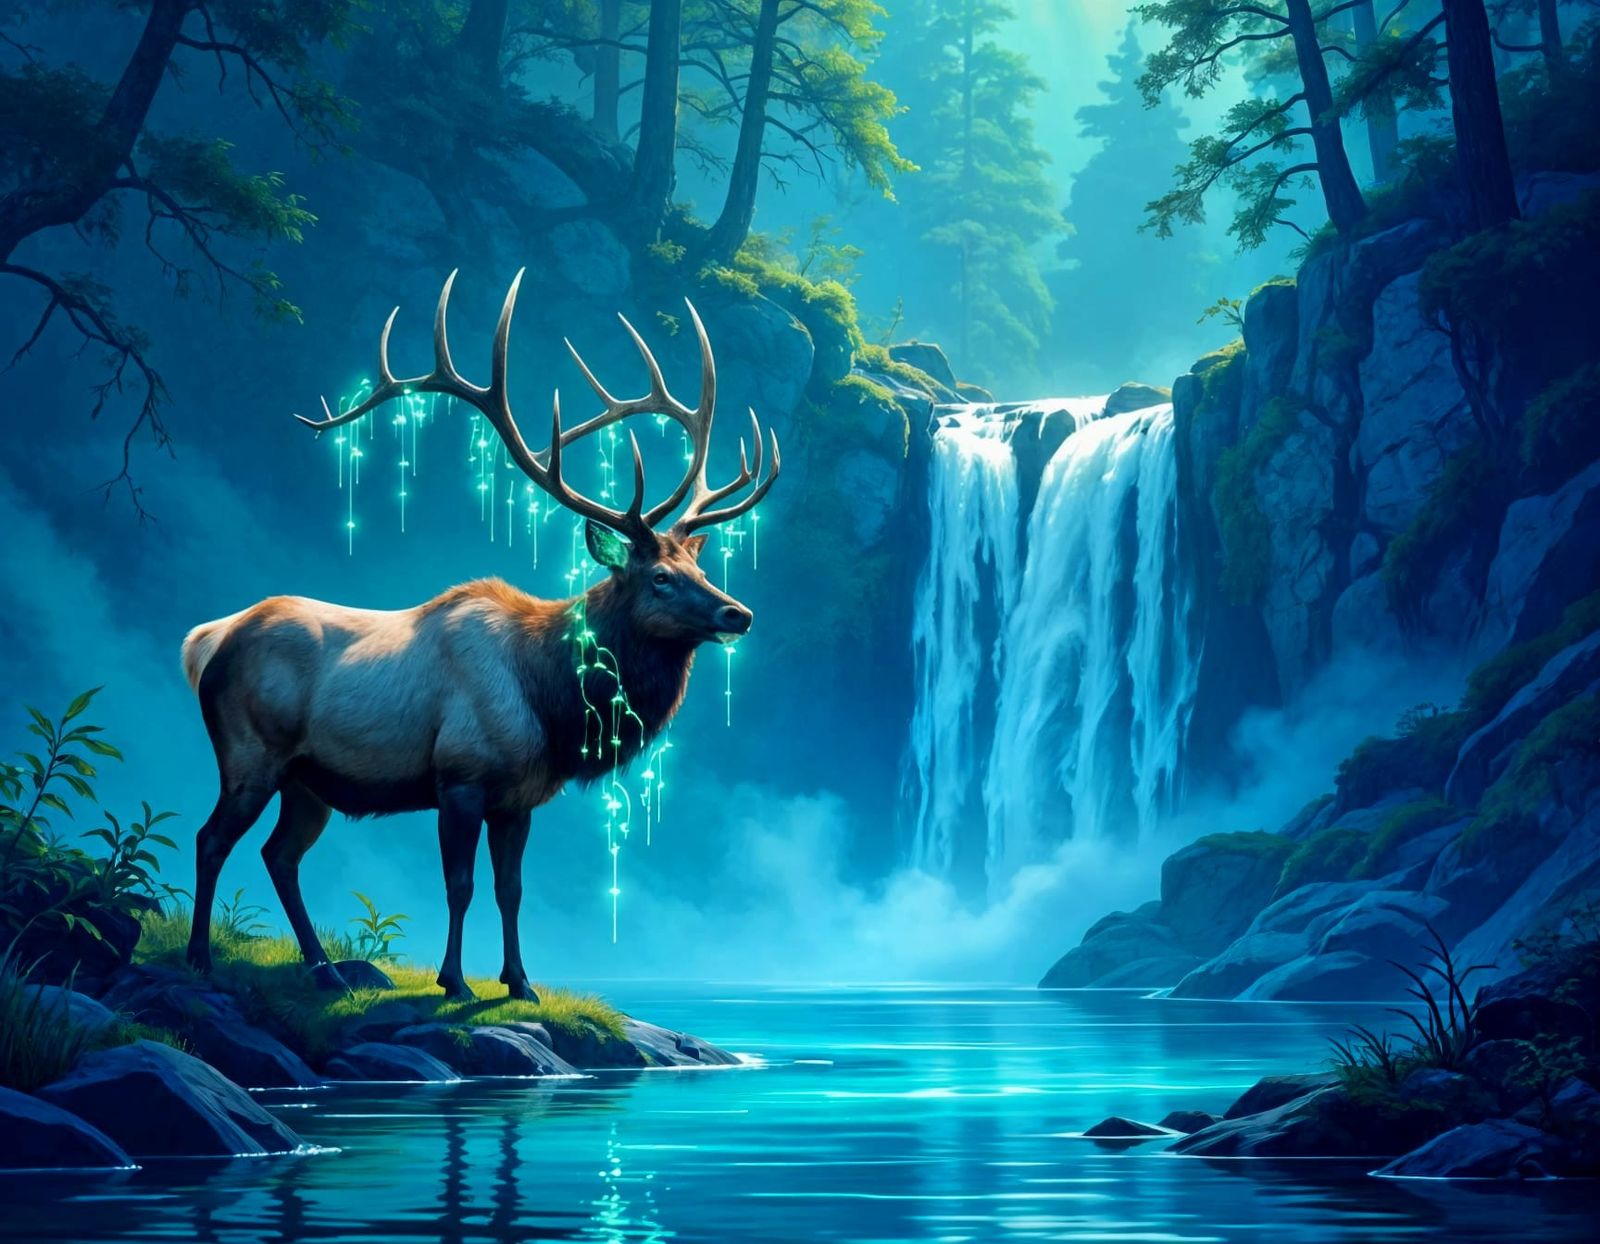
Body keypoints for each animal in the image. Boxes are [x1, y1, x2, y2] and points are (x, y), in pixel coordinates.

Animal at [180, 269, 779, 999]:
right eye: (661, 577)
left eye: (700, 566)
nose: (739, 614)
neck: (550, 700)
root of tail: (207, 639)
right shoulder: (460, 776)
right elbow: (460, 885)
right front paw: (456, 982)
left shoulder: (521, 798)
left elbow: (510, 889)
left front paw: (519, 981)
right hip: (250, 752)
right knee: (213, 839)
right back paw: (202, 959)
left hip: (307, 781)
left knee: (280, 855)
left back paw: (327, 973)